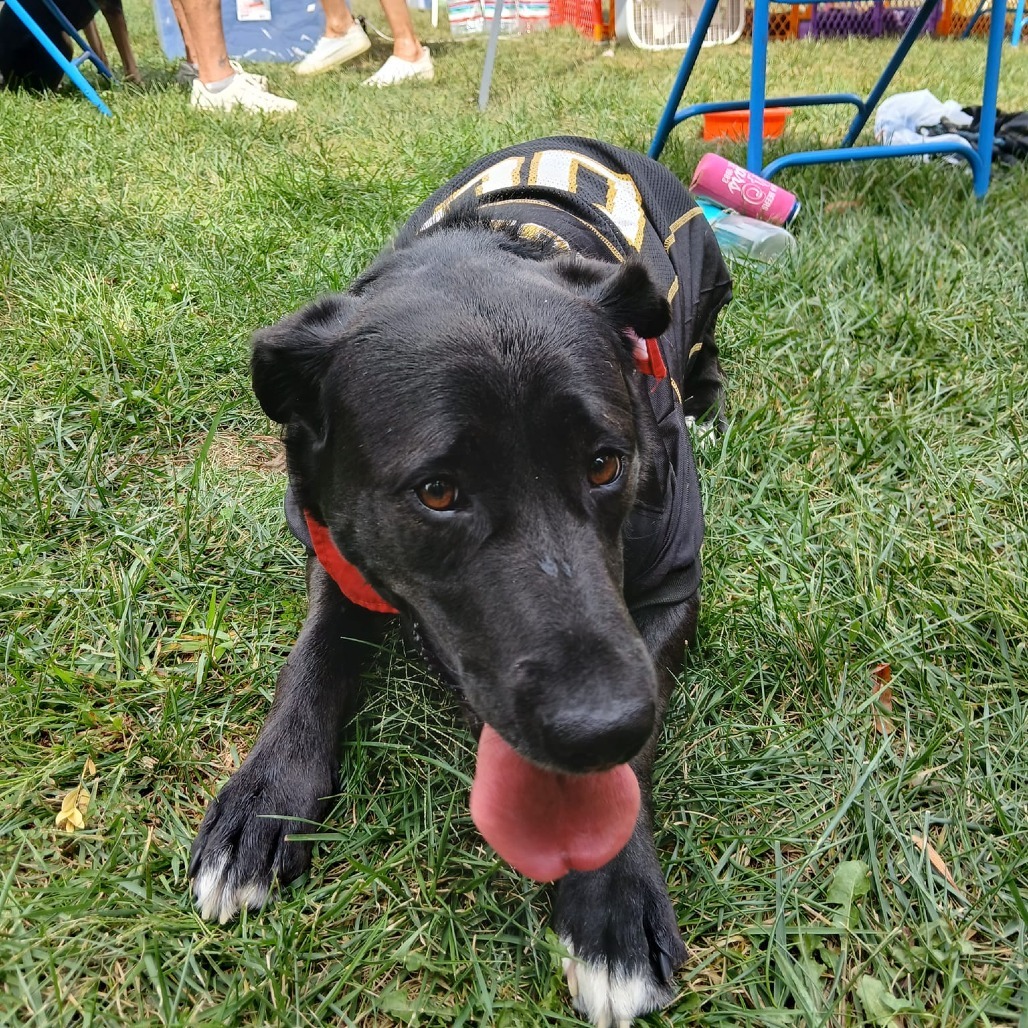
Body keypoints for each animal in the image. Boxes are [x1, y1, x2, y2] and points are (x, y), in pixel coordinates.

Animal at [187, 136, 731, 1028]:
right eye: (437, 493)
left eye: (605, 463)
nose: (601, 728)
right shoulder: (330, 546)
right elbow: (311, 660)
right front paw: (263, 798)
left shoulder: (670, 588)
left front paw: (613, 904)